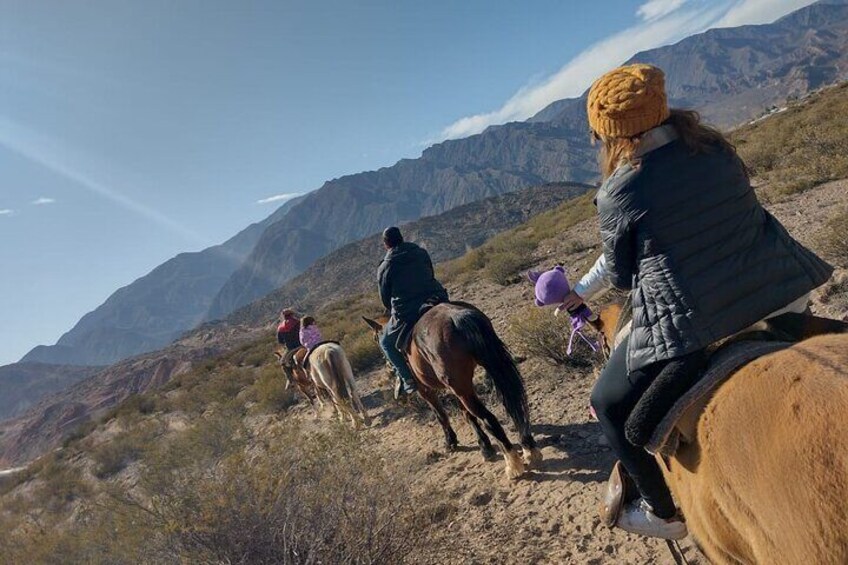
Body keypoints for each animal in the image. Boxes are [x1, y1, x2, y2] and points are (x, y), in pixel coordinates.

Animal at [362, 302, 536, 478]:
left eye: (376, 339)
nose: (387, 364)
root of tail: (457, 318)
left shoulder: (426, 390)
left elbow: (441, 416)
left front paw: (450, 441)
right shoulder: (457, 387)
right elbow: (467, 415)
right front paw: (485, 446)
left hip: (460, 386)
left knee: (489, 419)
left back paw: (513, 465)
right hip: (486, 371)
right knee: (512, 404)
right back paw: (528, 448)